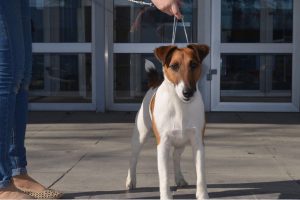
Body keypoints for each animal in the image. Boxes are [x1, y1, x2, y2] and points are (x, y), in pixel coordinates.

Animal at [125, 44, 210, 200]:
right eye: (174, 66)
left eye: (193, 65)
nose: (188, 92)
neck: (180, 105)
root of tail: (155, 83)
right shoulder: (163, 144)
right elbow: (164, 177)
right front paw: (166, 196)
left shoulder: (198, 142)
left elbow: (201, 174)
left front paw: (202, 195)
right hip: (140, 135)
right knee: (133, 158)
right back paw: (130, 180)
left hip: (182, 141)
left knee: (176, 157)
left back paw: (180, 178)